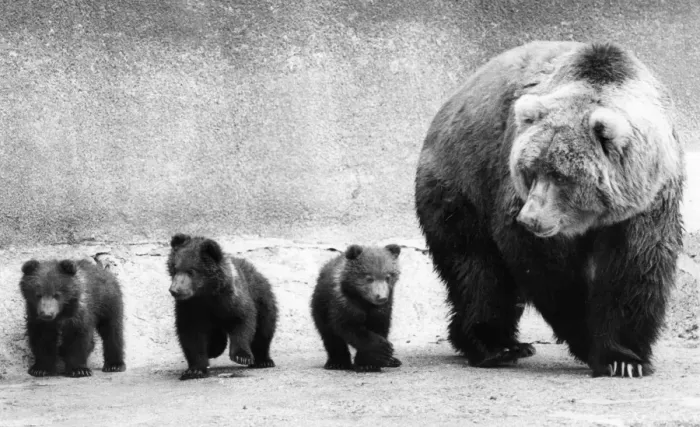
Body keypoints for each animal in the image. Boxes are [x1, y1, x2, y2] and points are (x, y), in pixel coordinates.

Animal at [167, 233, 278, 380]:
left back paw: (264, 360)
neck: (207, 295)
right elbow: (191, 335)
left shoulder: (232, 300)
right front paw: (194, 370)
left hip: (263, 299)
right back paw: (213, 350)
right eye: (174, 269)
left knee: (265, 329)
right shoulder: (190, 307)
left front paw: (241, 356)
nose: (175, 290)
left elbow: (243, 321)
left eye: (191, 271)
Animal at [311, 244, 402, 372]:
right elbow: (349, 327)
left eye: (388, 277)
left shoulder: (383, 309)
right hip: (321, 307)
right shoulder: (344, 303)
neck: (364, 301)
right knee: (330, 336)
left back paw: (393, 361)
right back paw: (337, 362)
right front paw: (382, 349)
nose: (381, 297)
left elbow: (380, 326)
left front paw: (369, 363)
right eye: (369, 278)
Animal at [414, 41, 684, 378]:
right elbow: (546, 269)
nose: (530, 218)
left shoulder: (648, 199)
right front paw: (588, 337)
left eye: (561, 175)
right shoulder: (513, 193)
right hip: (462, 185)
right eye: (530, 169)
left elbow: (636, 265)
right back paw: (496, 345)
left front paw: (624, 359)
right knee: (478, 269)